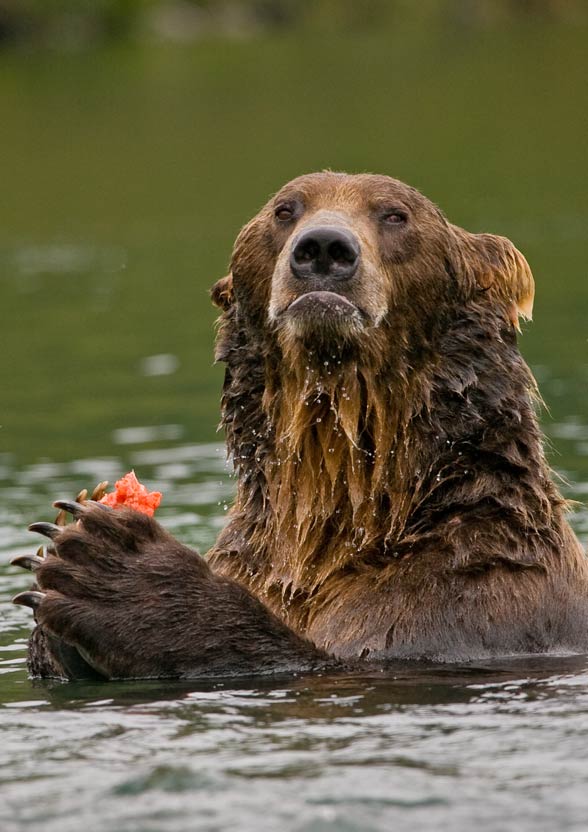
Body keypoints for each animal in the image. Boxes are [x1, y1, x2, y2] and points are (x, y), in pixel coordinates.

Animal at [12, 172, 588, 680]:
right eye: (285, 209)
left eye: (396, 214)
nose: (324, 247)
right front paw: (57, 550)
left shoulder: (472, 593)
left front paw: (108, 566)